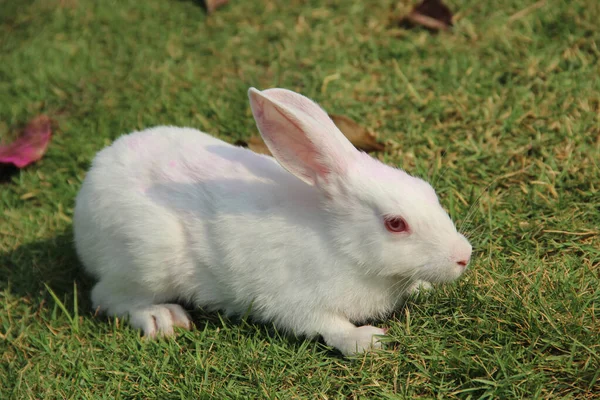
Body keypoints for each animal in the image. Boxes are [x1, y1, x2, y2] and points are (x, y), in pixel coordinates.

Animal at [72, 87, 472, 356]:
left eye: (427, 190)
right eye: (395, 224)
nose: (463, 257)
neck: (340, 242)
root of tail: (88, 191)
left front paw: (422, 288)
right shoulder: (295, 301)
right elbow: (327, 326)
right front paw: (367, 341)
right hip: (147, 259)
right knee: (107, 296)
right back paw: (163, 318)